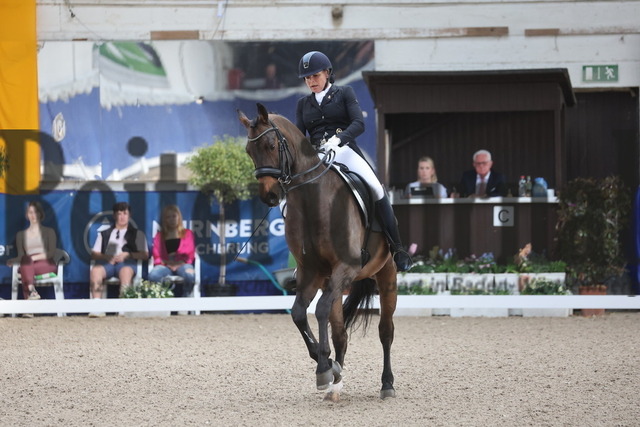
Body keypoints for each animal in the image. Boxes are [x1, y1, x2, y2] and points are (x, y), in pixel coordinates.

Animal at [238, 103, 398, 401]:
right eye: (248, 151)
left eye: (271, 144)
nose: (269, 196)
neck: (314, 201)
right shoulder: (311, 272)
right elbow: (300, 313)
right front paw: (326, 367)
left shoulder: (345, 267)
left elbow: (319, 310)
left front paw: (325, 366)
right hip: (331, 281)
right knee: (340, 333)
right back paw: (336, 387)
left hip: (386, 273)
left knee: (385, 331)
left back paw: (387, 385)